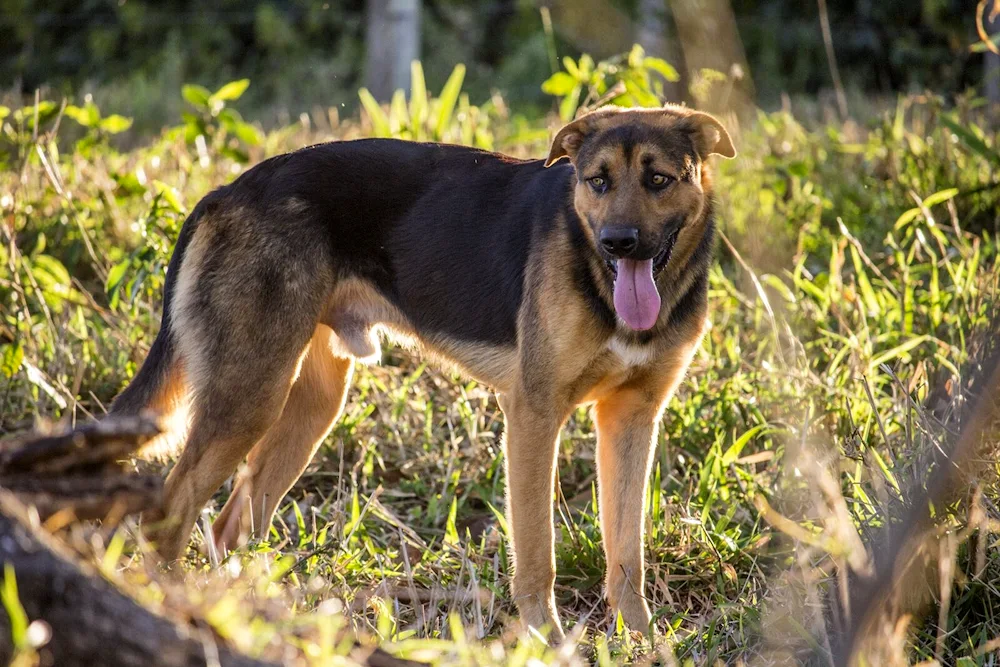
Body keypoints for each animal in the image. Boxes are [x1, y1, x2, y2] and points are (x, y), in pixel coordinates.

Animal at [111, 103, 736, 636]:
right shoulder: (533, 415)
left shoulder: (632, 419)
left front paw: (641, 639)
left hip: (308, 407)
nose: (618, 242)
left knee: (230, 526)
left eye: (659, 180)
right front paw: (546, 640)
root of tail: (227, 190)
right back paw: (178, 610)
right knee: (170, 516)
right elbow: (538, 553)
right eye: (598, 181)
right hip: (249, 397)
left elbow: (627, 552)